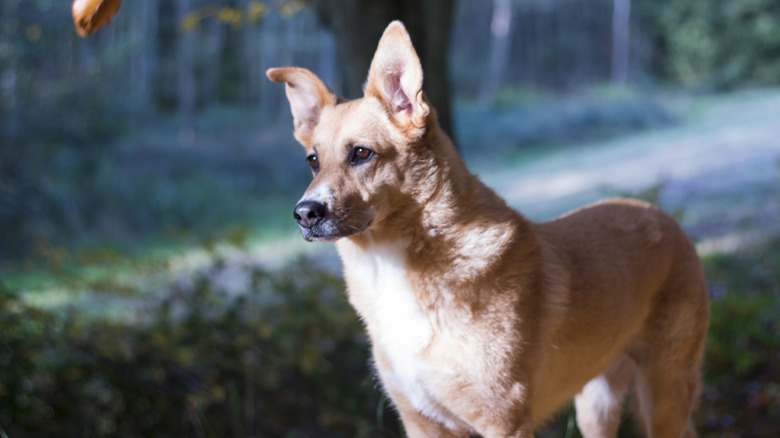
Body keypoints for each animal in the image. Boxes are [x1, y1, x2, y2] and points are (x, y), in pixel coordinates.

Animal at [266, 21, 708, 438]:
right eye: (312, 161)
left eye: (361, 153)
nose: (304, 214)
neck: (392, 264)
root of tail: (657, 213)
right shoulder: (421, 424)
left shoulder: (505, 422)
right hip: (596, 405)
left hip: (665, 394)